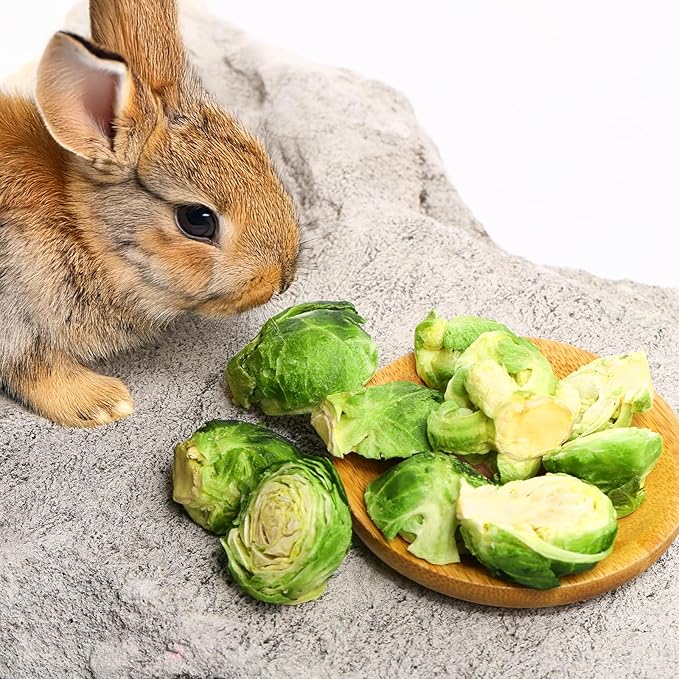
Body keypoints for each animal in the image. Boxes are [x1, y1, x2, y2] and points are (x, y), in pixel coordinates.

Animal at [0, 0, 299, 427]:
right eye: (197, 220)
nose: (281, 280)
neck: (84, 232)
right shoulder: (18, 313)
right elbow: (35, 367)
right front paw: (105, 403)